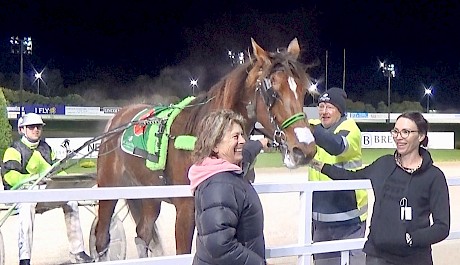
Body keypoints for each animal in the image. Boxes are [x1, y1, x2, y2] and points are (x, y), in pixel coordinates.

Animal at [95, 38, 318, 258]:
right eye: (273, 91)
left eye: (303, 91)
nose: (305, 150)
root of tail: (118, 116)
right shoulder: (186, 210)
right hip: (108, 188)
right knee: (102, 237)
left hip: (149, 194)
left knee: (143, 233)